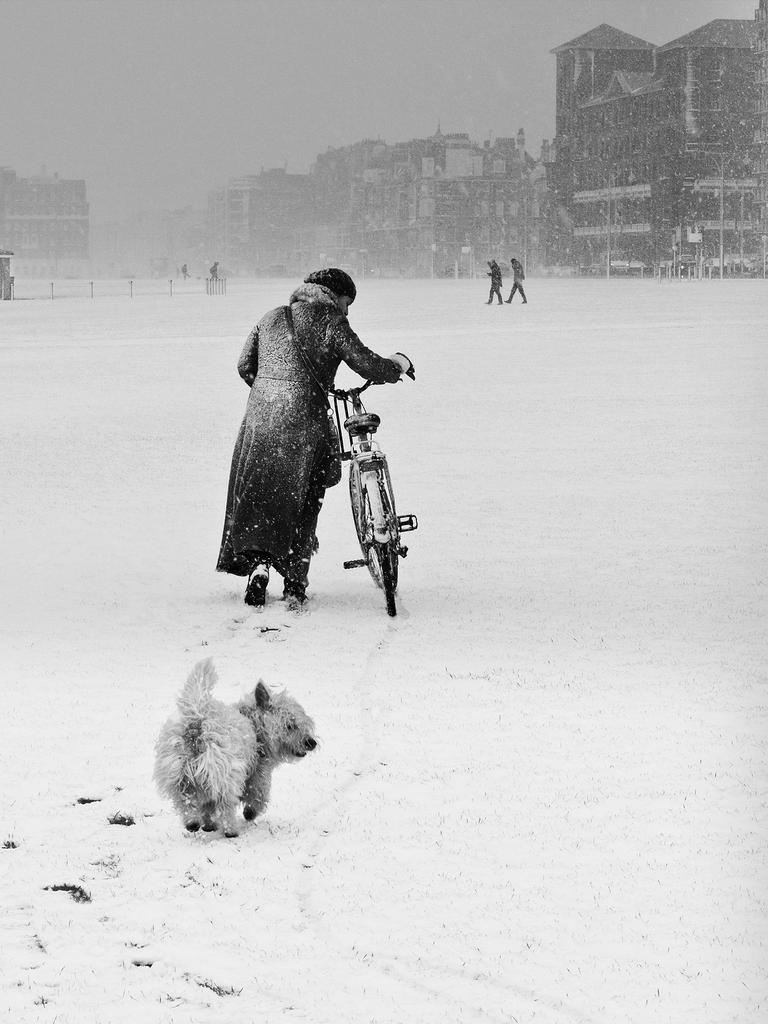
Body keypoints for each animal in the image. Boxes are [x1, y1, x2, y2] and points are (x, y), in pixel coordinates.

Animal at [154, 659, 317, 835]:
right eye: (290, 725)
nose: (311, 742)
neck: (255, 728)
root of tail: (197, 720)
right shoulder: (257, 773)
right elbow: (258, 794)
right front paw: (250, 812)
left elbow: (207, 806)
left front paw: (209, 824)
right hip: (224, 774)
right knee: (225, 805)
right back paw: (231, 830)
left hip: (178, 772)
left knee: (185, 800)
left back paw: (193, 823)